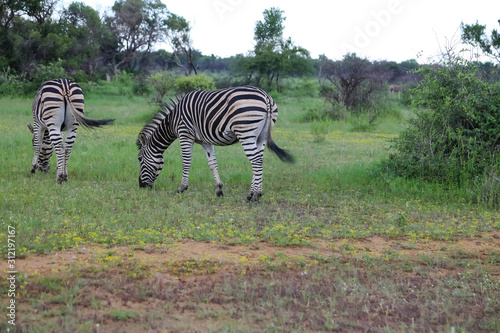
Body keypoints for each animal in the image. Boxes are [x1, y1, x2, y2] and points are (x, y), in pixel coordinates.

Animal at [136, 85, 292, 201]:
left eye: (139, 159)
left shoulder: (185, 134)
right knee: (259, 159)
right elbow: (212, 164)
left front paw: (181, 188)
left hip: (245, 132)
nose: (141, 186)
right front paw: (219, 190)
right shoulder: (205, 141)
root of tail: (266, 96)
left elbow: (186, 162)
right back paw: (251, 194)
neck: (172, 121)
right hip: (261, 137)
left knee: (256, 161)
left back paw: (255, 196)